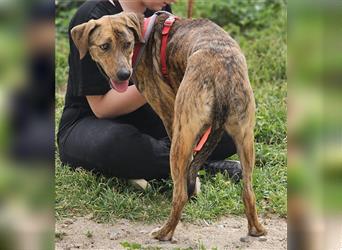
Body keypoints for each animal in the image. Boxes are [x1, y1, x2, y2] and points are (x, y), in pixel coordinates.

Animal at [71, 12, 266, 241]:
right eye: (104, 46)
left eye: (127, 44)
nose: (124, 75)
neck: (144, 36)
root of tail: (221, 75)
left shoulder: (169, 115)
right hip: (245, 137)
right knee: (248, 191)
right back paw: (256, 229)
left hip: (181, 140)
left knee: (180, 194)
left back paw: (164, 232)